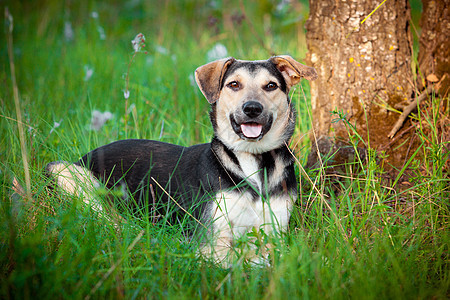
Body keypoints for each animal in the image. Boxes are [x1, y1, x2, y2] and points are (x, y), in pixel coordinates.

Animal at [45, 55, 316, 262]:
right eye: (234, 85)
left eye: (270, 86)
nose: (252, 108)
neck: (254, 159)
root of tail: (90, 154)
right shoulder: (210, 241)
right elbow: (239, 262)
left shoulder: (275, 234)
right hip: (63, 171)